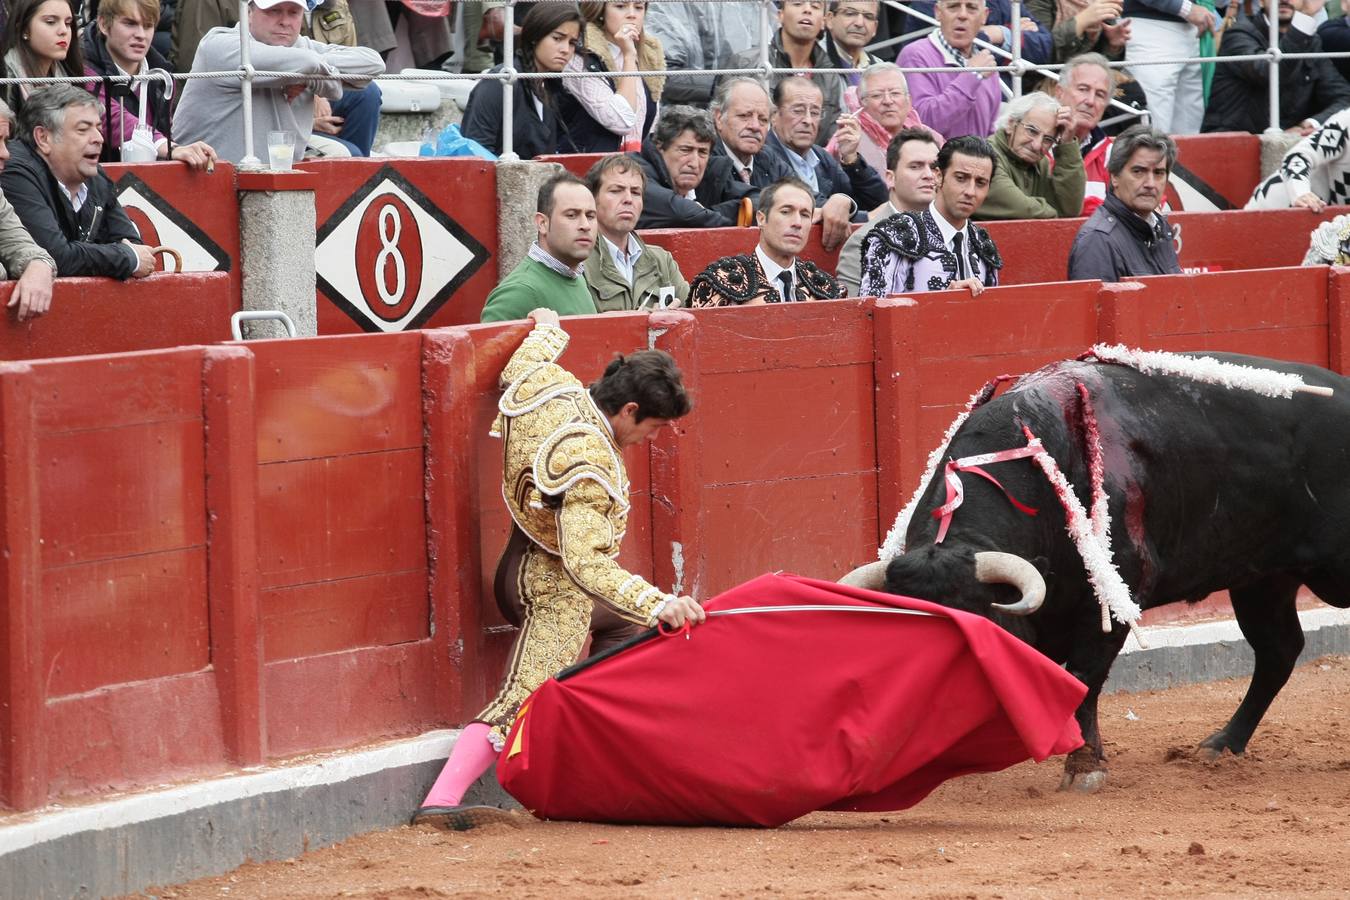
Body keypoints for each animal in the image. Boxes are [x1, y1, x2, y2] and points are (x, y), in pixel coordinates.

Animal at [842, 356, 1350, 793]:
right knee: (1278, 652)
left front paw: (1084, 765)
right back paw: (1221, 745)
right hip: (1262, 580)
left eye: (976, 630)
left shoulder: (1114, 597)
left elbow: (1084, 676)